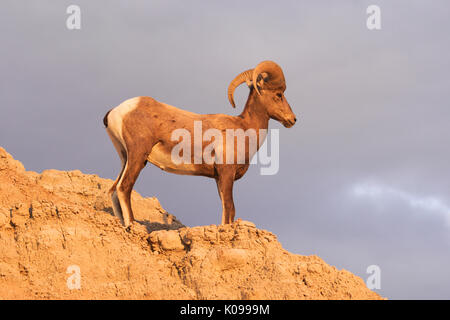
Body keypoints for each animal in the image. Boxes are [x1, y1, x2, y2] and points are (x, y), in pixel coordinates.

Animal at [103, 59, 298, 225]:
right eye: (279, 94)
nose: (293, 119)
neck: (243, 128)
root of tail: (116, 112)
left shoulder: (219, 179)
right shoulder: (226, 174)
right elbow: (229, 208)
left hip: (126, 158)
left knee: (113, 190)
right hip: (137, 155)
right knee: (124, 187)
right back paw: (132, 224)